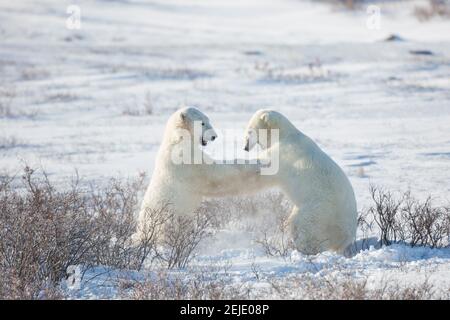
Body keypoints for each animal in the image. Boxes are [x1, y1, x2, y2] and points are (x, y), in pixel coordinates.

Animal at [244, 110, 356, 255]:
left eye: (250, 130)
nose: (245, 147)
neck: (284, 135)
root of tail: (346, 236)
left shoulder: (282, 153)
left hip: (320, 211)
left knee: (303, 227)